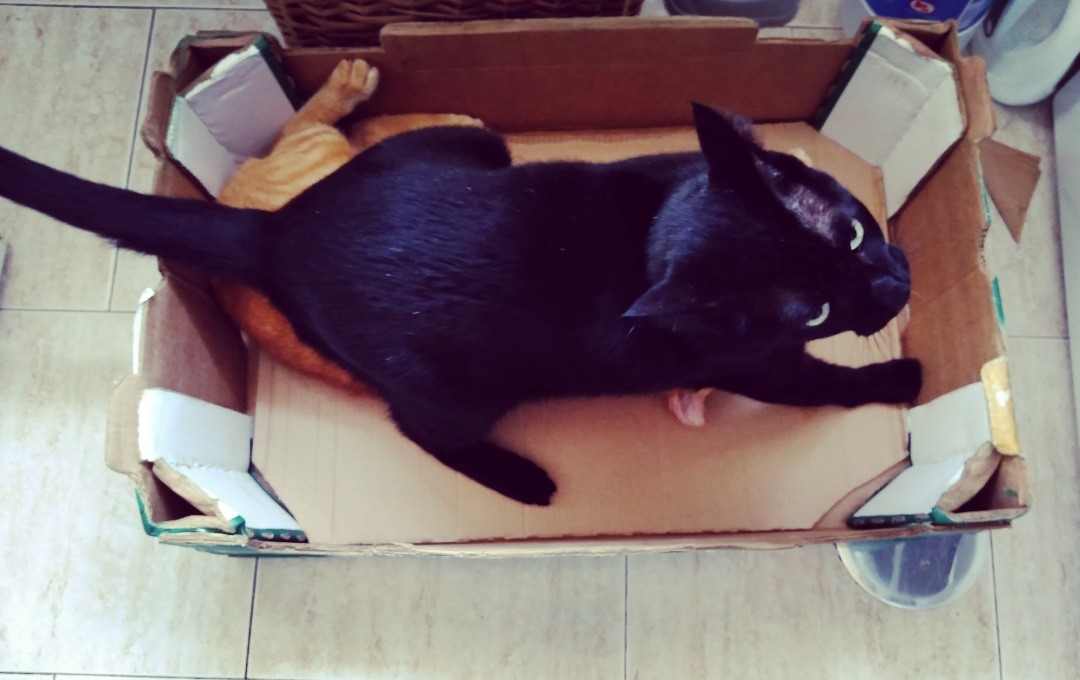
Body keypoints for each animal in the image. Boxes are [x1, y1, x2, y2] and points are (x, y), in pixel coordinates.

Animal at [0, 90, 920, 506]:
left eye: (848, 231)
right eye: (813, 311)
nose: (891, 282)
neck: (665, 223)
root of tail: (277, 231)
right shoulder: (756, 363)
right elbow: (821, 382)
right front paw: (899, 379)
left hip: (481, 143)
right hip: (459, 389)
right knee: (419, 430)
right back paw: (521, 479)